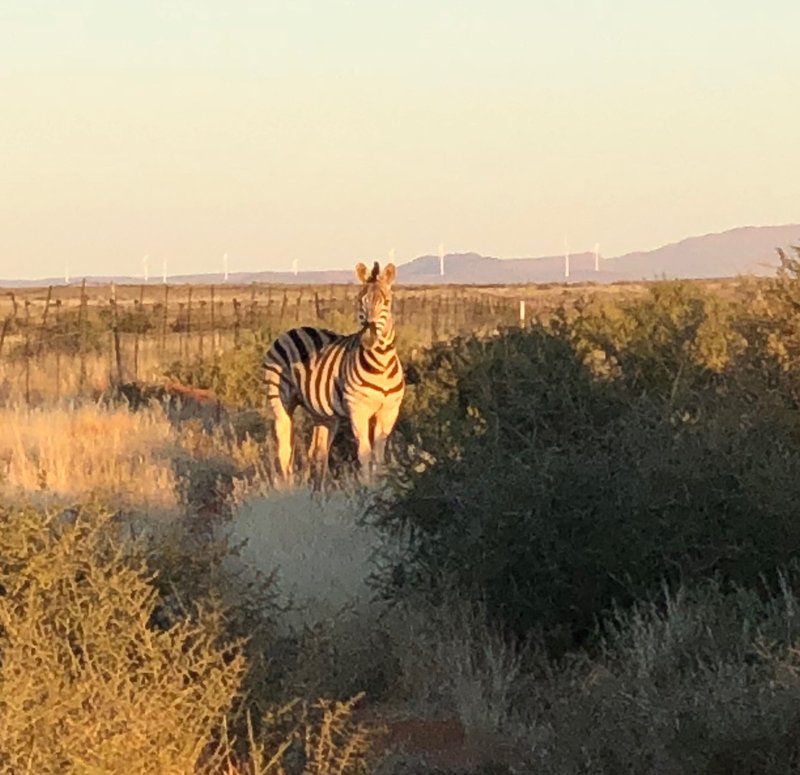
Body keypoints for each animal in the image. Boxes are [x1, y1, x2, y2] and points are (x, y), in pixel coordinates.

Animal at [264, 260, 404, 484]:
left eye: (386, 302)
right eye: (360, 301)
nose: (369, 338)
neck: (381, 365)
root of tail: (291, 330)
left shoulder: (389, 411)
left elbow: (378, 456)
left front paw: (379, 484)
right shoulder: (358, 410)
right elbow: (364, 453)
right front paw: (366, 487)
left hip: (322, 413)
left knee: (318, 452)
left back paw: (318, 488)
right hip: (280, 400)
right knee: (284, 446)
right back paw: (289, 487)